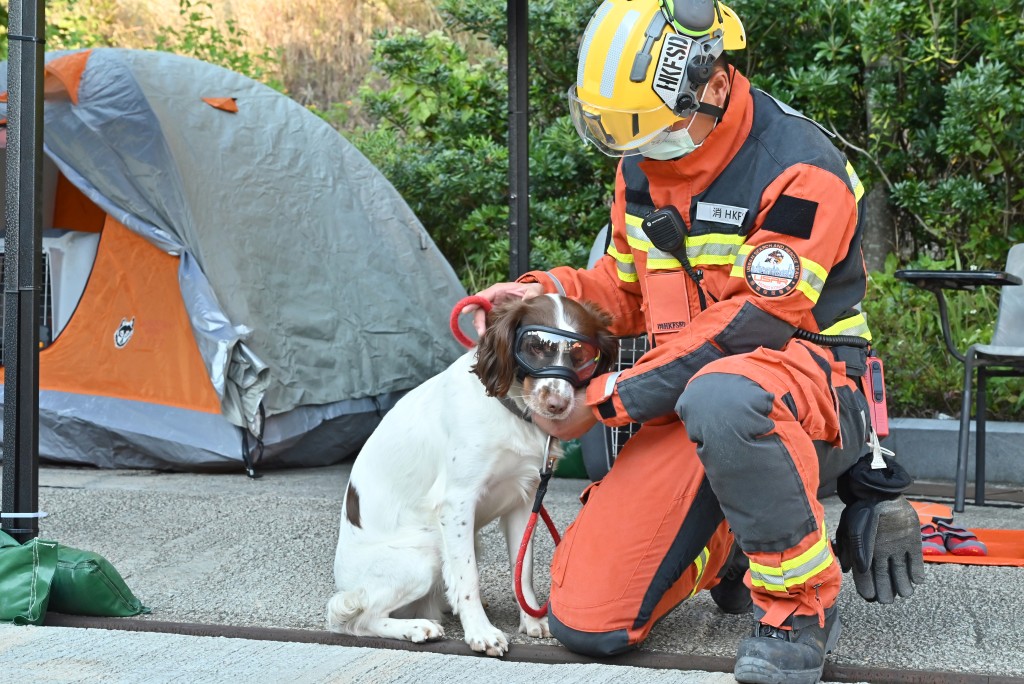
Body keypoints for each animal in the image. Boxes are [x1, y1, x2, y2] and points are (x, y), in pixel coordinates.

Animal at [327, 294, 614, 655]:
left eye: (580, 355)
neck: (511, 409)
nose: (557, 405)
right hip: (424, 554)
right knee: (356, 618)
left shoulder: (524, 500)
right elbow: (468, 577)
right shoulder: (457, 502)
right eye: (535, 346)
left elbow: (523, 569)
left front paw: (532, 620)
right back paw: (417, 627)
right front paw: (480, 632)